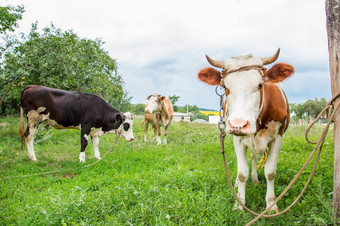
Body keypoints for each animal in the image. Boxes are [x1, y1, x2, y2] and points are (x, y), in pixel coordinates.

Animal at [198, 48, 294, 213]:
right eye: (226, 88)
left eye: (260, 85)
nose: (238, 125)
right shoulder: (238, 139)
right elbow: (242, 172)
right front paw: (239, 204)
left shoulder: (278, 138)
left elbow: (270, 172)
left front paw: (271, 204)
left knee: (255, 158)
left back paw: (255, 179)